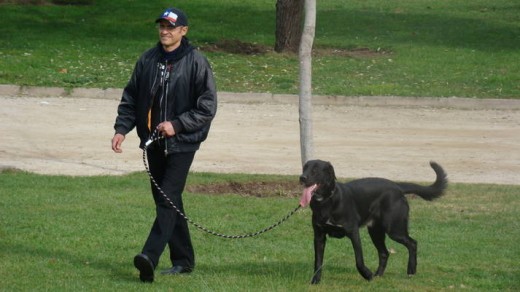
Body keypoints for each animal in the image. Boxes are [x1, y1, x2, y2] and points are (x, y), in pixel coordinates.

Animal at [300, 160, 446, 282]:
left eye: (315, 170)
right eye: (304, 168)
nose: (302, 178)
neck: (326, 201)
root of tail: (397, 186)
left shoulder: (353, 233)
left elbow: (359, 260)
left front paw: (367, 275)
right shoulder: (319, 236)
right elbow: (318, 262)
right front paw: (315, 281)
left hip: (394, 229)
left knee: (412, 243)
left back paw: (411, 270)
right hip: (376, 231)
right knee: (384, 253)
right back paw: (378, 275)